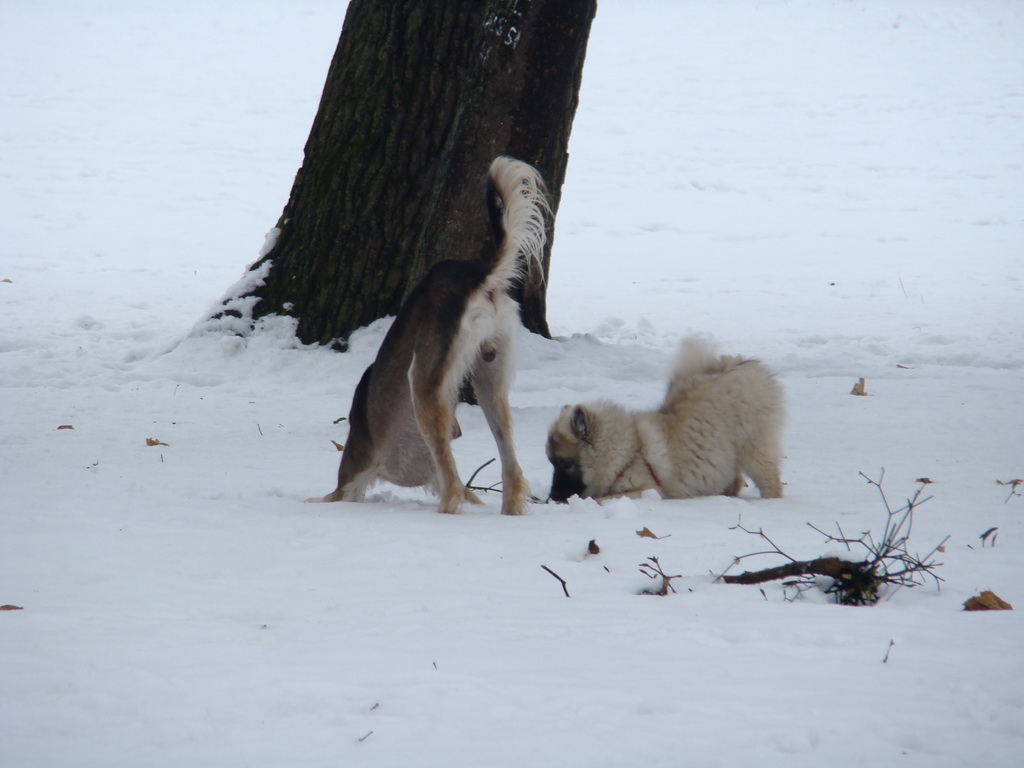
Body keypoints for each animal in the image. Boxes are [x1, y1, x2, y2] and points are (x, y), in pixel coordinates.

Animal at [307, 156, 548, 518]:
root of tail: (481, 276)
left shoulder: (351, 478)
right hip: (490, 380)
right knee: (512, 472)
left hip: (423, 385)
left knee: (454, 486)